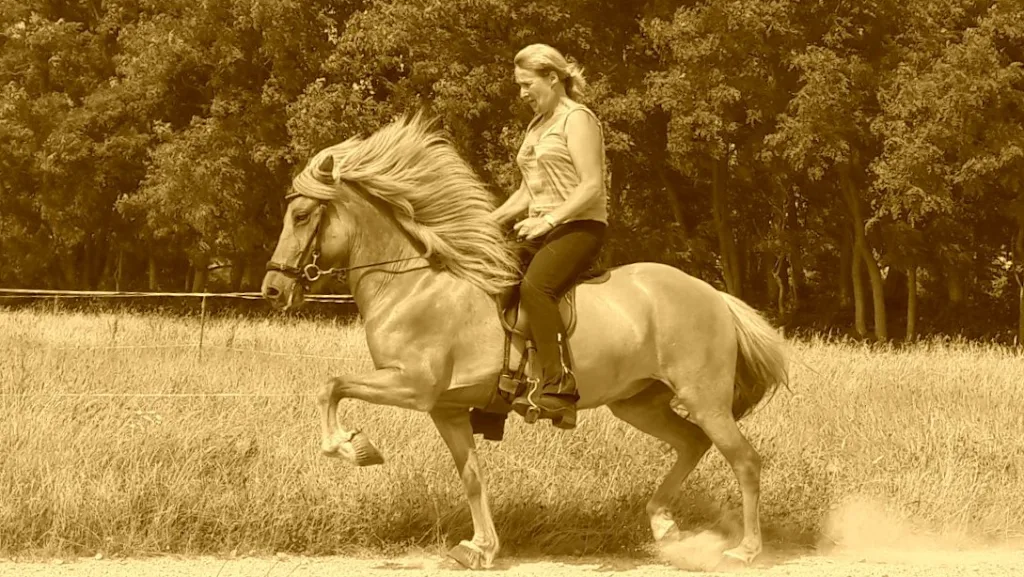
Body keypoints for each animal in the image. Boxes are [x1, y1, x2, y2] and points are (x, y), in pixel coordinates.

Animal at [261, 112, 789, 570]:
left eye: (302, 215)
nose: (273, 290)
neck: (415, 284)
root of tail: (714, 296)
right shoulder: (446, 407)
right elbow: (472, 477)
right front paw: (481, 548)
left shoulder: (413, 386)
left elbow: (330, 385)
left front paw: (352, 447)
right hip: (639, 403)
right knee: (693, 443)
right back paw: (663, 526)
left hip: (704, 397)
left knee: (744, 460)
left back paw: (744, 550)